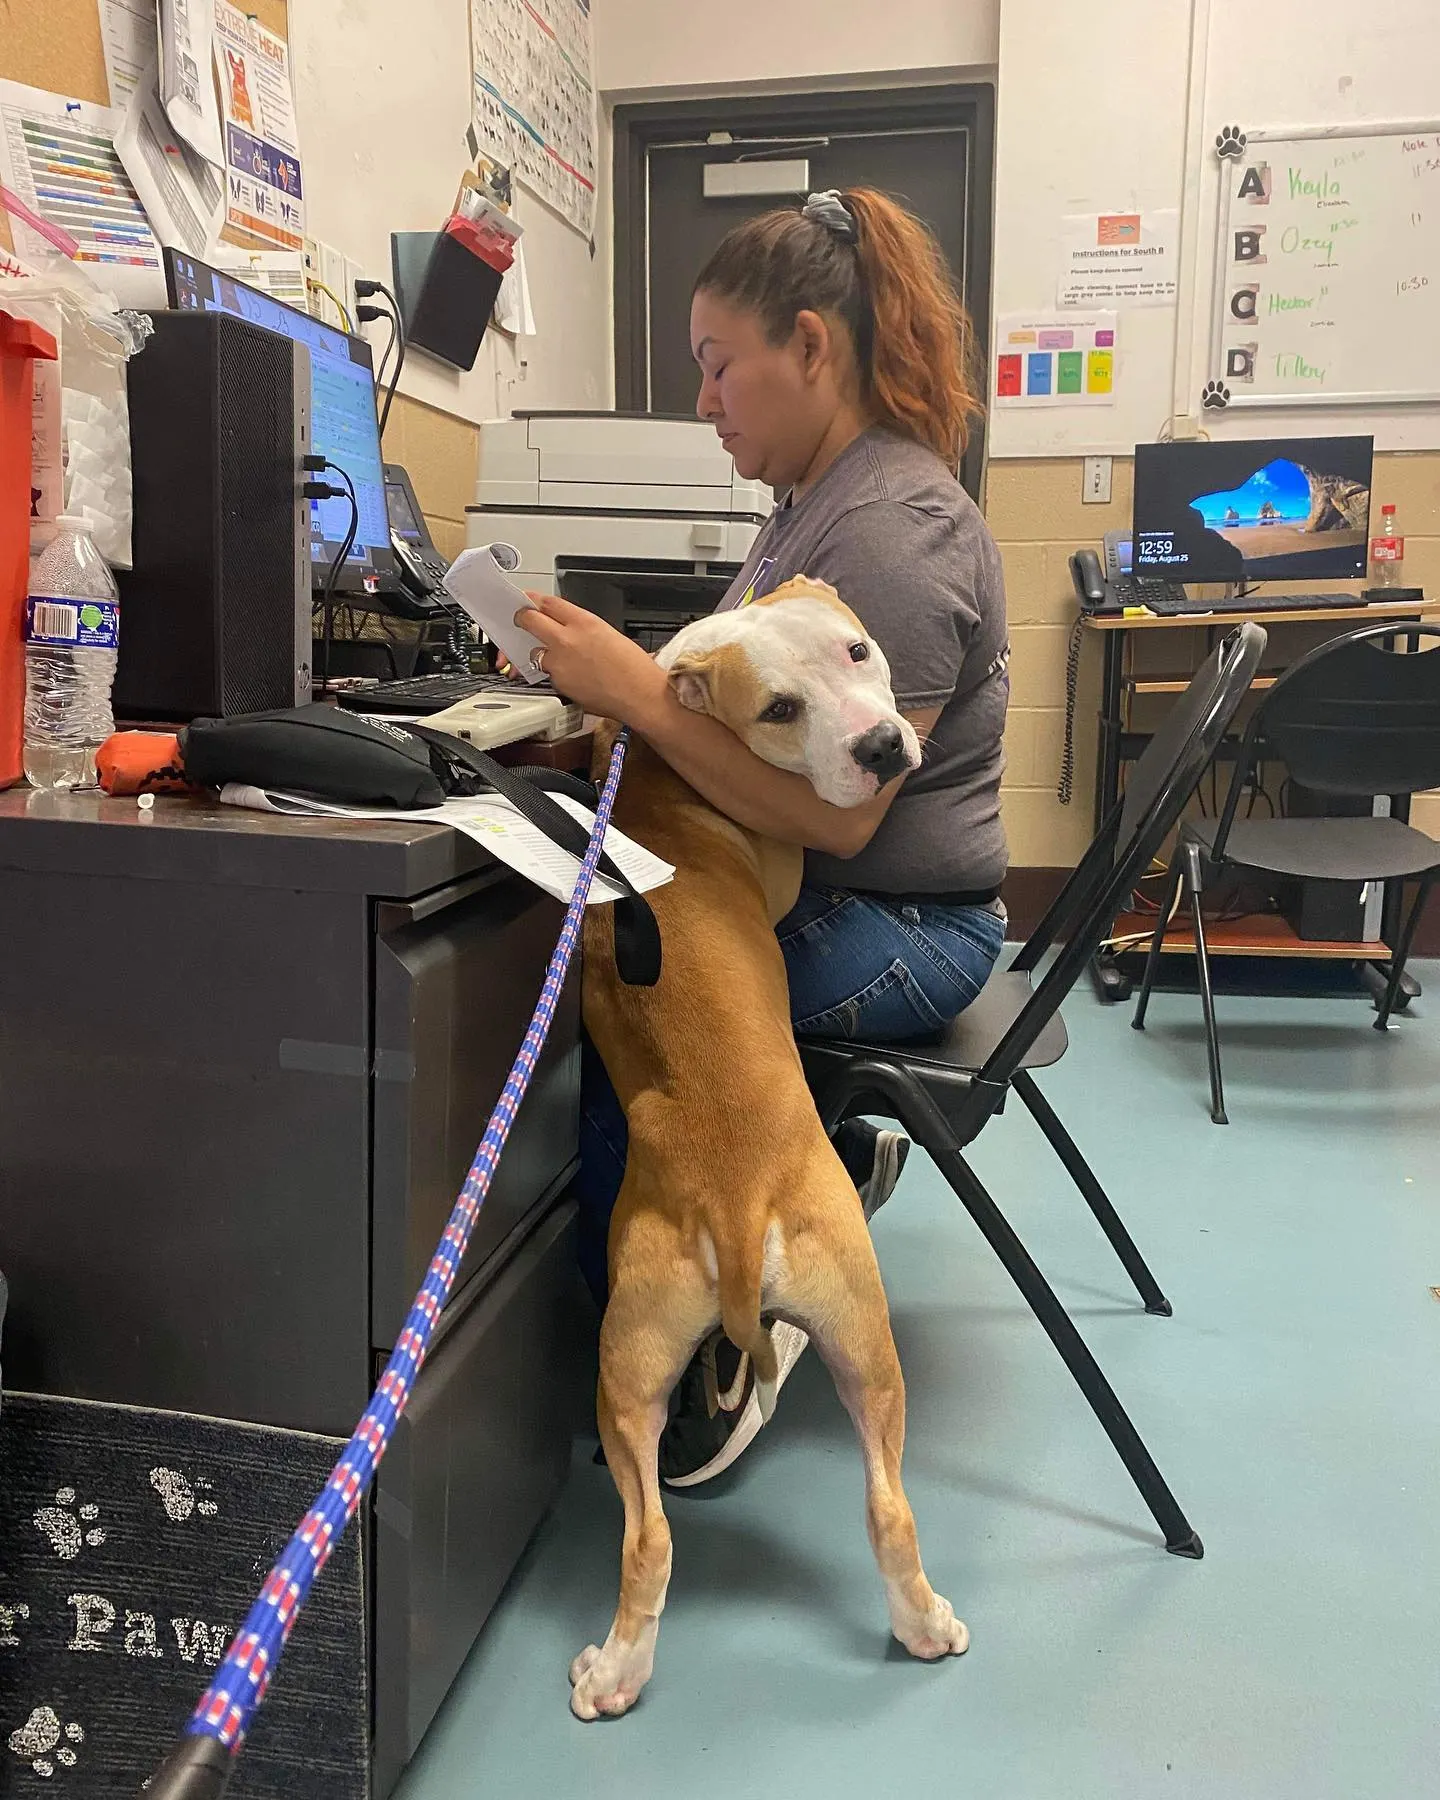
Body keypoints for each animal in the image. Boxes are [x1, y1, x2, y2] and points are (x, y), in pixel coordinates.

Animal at [572, 583, 964, 1720]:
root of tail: (739, 1201)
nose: (880, 746)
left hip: (671, 1358)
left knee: (681, 1536)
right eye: (780, 710)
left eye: (860, 651)